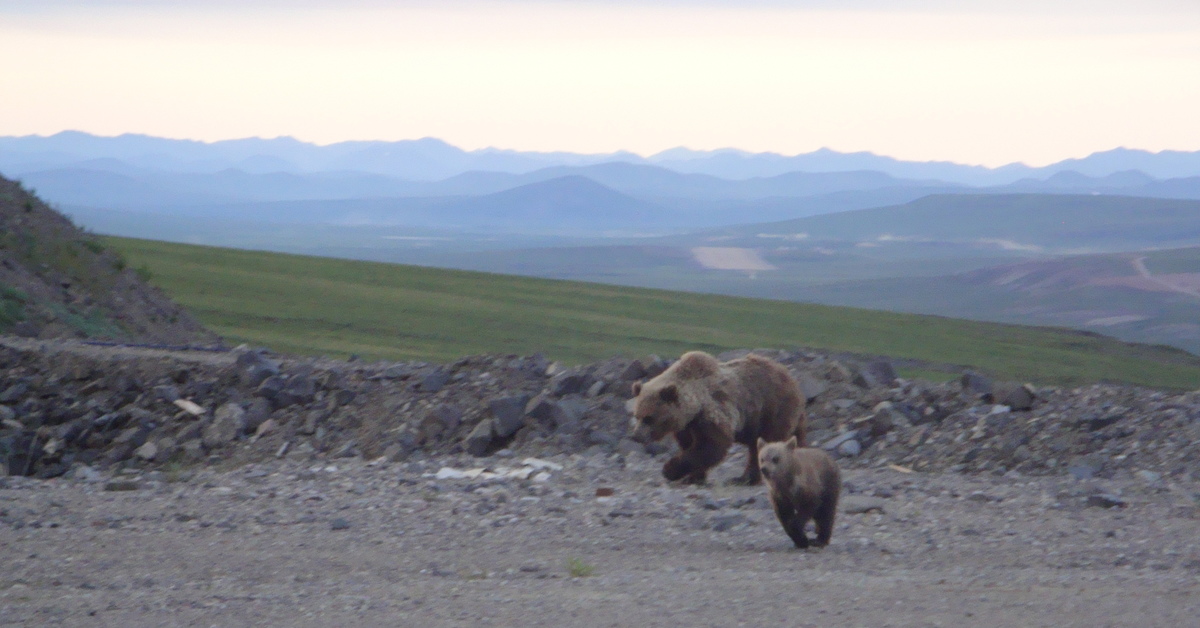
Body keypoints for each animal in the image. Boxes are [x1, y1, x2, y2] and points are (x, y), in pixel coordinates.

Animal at [628, 353, 806, 487]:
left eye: (649, 418)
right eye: (636, 415)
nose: (637, 436)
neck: (694, 407)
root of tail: (791, 378)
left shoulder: (713, 412)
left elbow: (711, 446)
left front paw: (670, 470)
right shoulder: (687, 426)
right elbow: (690, 445)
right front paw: (693, 477)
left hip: (772, 409)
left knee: (768, 442)